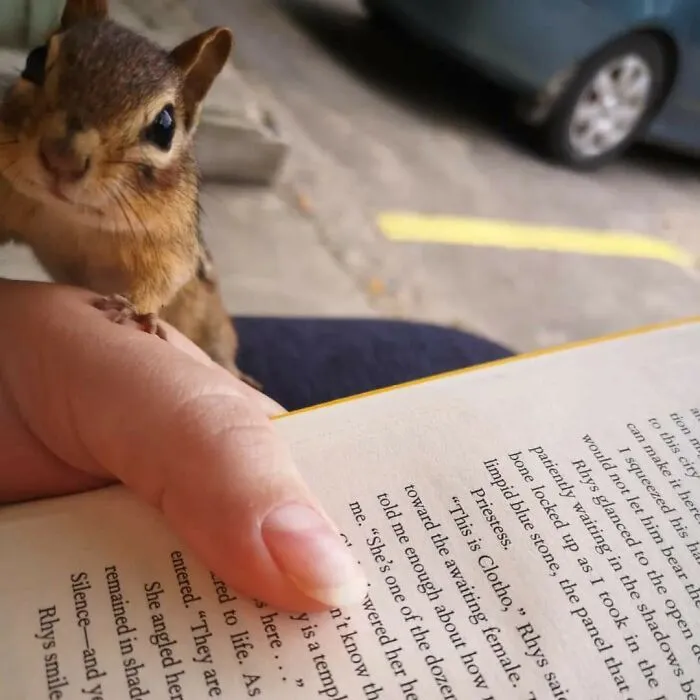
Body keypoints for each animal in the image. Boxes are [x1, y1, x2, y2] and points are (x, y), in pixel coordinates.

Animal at [0, 0, 259, 387]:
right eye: (35, 59)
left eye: (165, 126)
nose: (63, 157)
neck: (70, 218)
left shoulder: (170, 245)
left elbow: (163, 278)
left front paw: (133, 308)